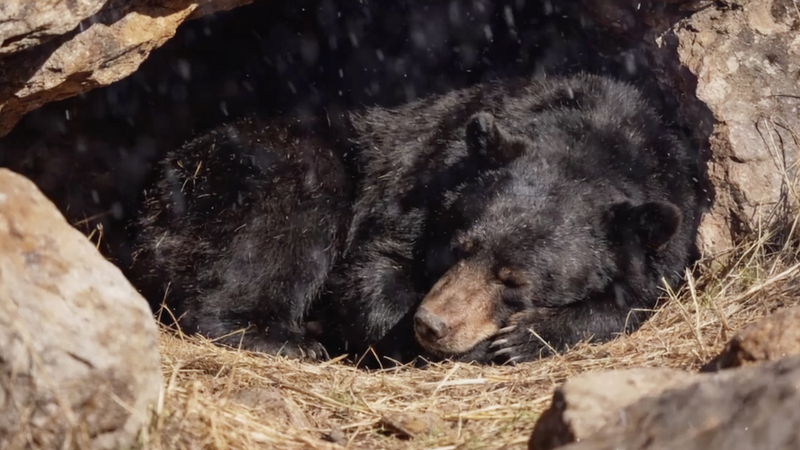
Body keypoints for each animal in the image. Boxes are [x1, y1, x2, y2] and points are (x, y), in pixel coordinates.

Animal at [322, 72, 701, 365]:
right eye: (458, 248)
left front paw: (524, 336)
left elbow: (637, 299)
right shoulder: (413, 192)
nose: (432, 324)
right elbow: (371, 279)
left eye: (515, 281)